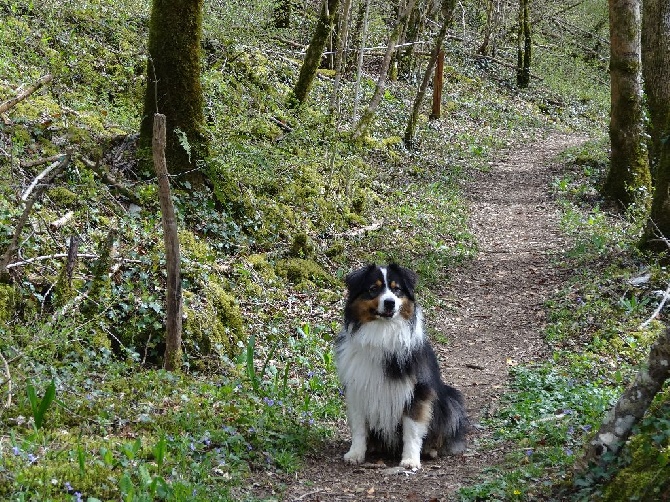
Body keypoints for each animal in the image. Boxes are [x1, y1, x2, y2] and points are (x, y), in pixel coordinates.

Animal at [334, 264, 468, 468]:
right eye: (373, 288)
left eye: (396, 289)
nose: (390, 303)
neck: (382, 333)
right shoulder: (358, 389)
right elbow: (358, 427)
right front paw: (355, 453)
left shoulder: (417, 392)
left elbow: (412, 430)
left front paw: (410, 459)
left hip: (453, 400)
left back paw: (431, 450)